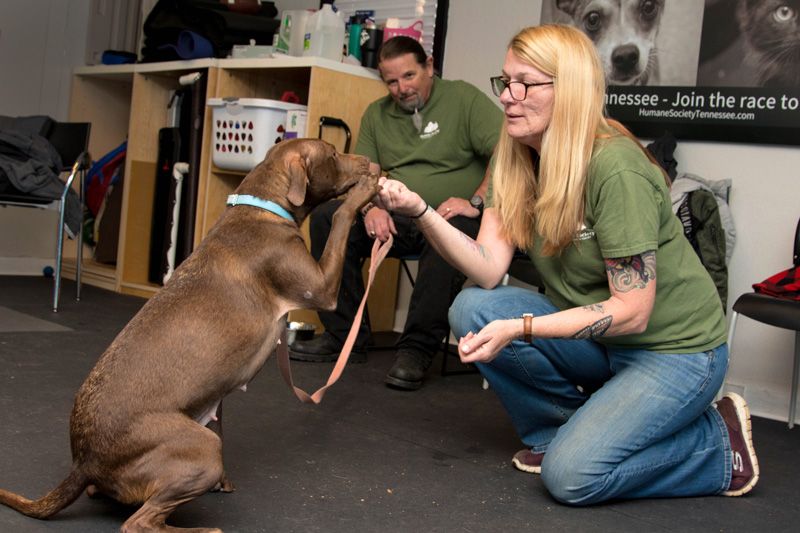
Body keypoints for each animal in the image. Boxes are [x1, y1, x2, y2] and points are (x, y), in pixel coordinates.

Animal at [0, 139, 378, 528]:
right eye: (332, 154)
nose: (369, 161)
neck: (263, 204)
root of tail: (83, 461)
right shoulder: (321, 288)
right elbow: (340, 218)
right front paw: (363, 193)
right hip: (203, 449)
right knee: (138, 523)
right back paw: (204, 530)